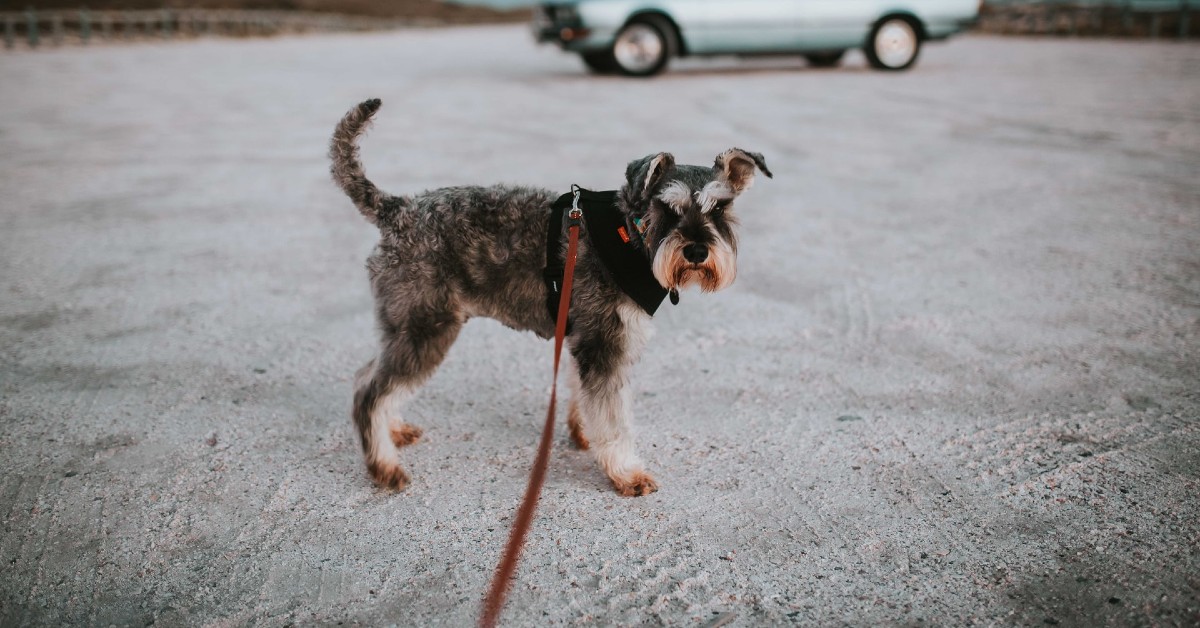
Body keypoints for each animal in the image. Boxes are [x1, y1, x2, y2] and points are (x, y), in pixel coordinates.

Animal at [333, 99, 772, 497]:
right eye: (667, 207)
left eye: (721, 208)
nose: (697, 250)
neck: (631, 234)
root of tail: (398, 211)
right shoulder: (604, 344)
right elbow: (614, 418)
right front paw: (626, 473)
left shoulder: (584, 338)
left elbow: (586, 397)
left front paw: (583, 435)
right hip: (427, 329)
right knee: (369, 394)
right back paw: (385, 467)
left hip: (405, 325)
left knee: (370, 376)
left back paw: (393, 430)